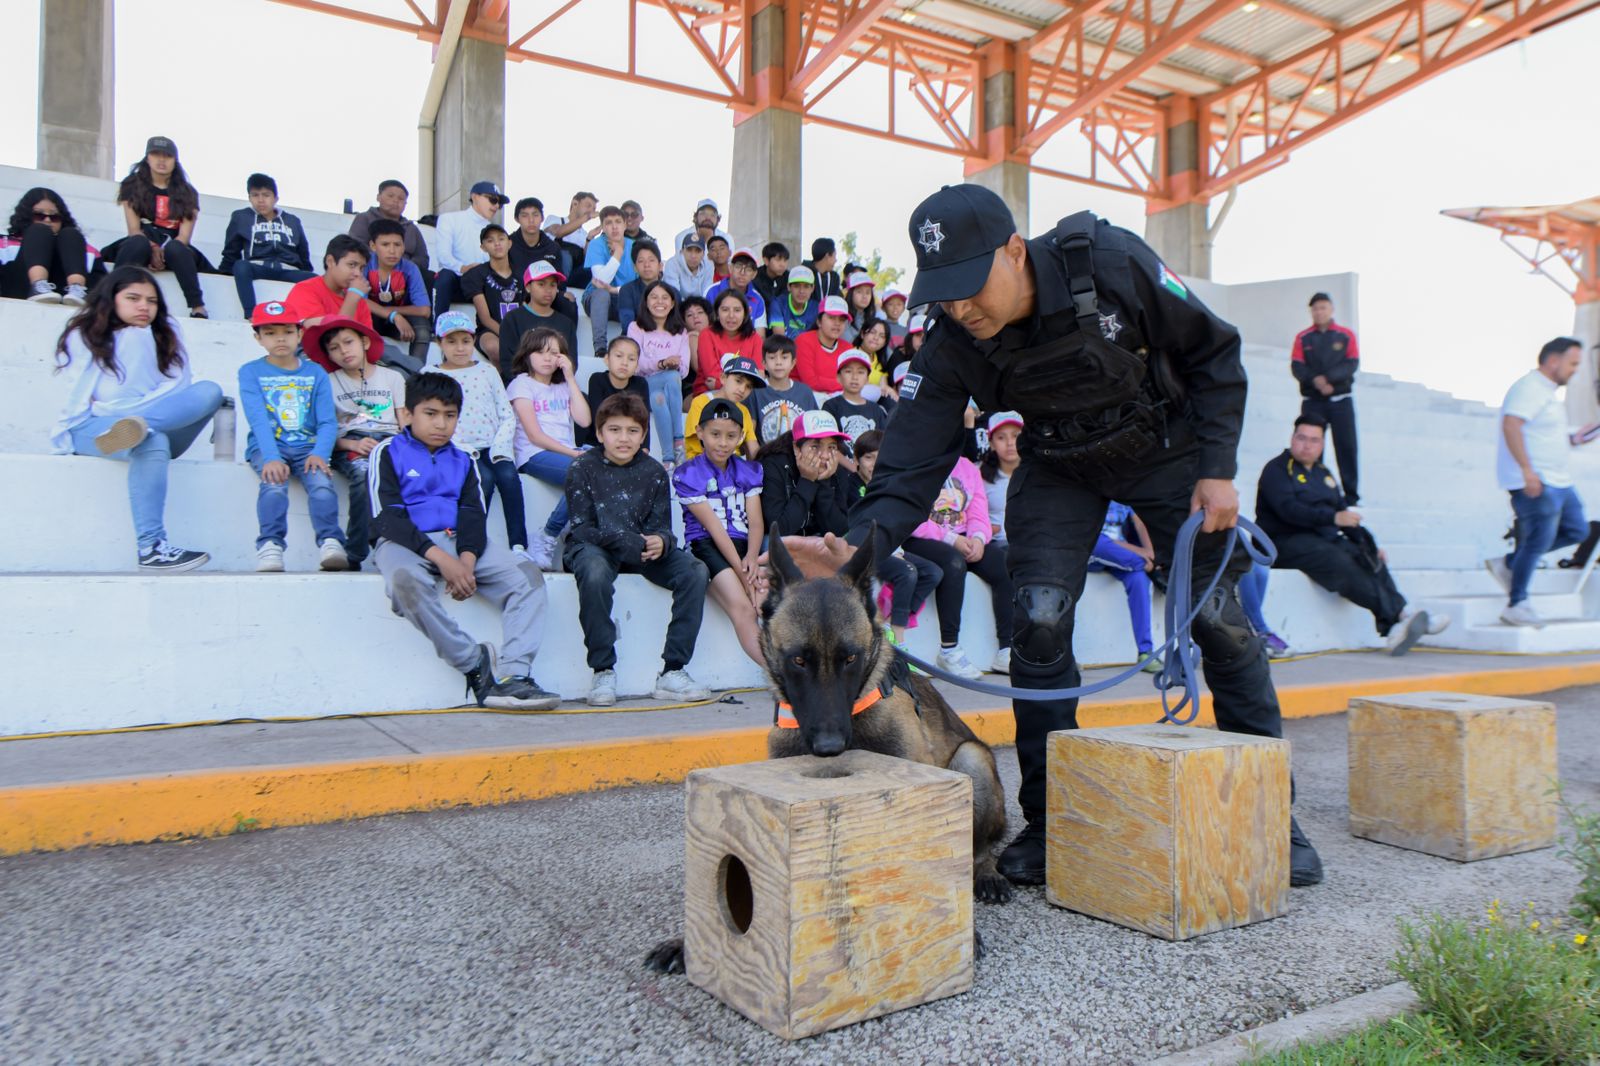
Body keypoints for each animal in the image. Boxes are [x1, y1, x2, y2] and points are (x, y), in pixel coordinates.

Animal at [643, 521, 1004, 973]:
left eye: (850, 658)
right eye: (799, 661)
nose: (829, 746)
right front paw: (685, 941)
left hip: (971, 761)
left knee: (981, 847)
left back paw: (987, 872)